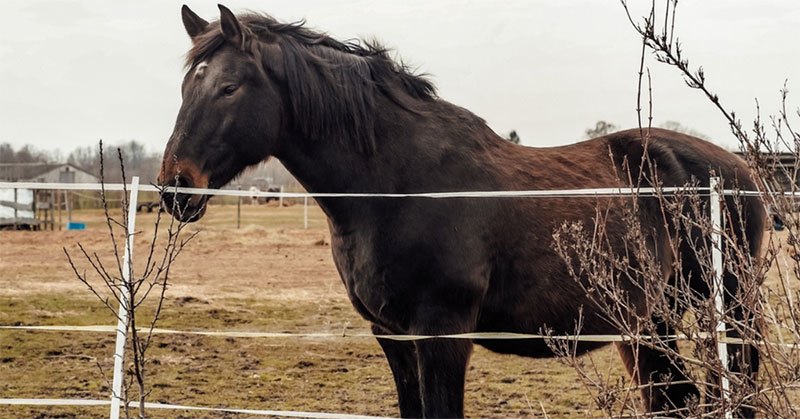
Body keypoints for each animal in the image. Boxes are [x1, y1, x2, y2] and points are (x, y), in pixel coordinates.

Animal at [159, 4, 764, 418]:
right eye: (186, 86)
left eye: (229, 88)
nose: (174, 187)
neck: (397, 189)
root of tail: (738, 169)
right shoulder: (392, 336)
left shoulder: (442, 335)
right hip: (649, 324)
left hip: (727, 311)